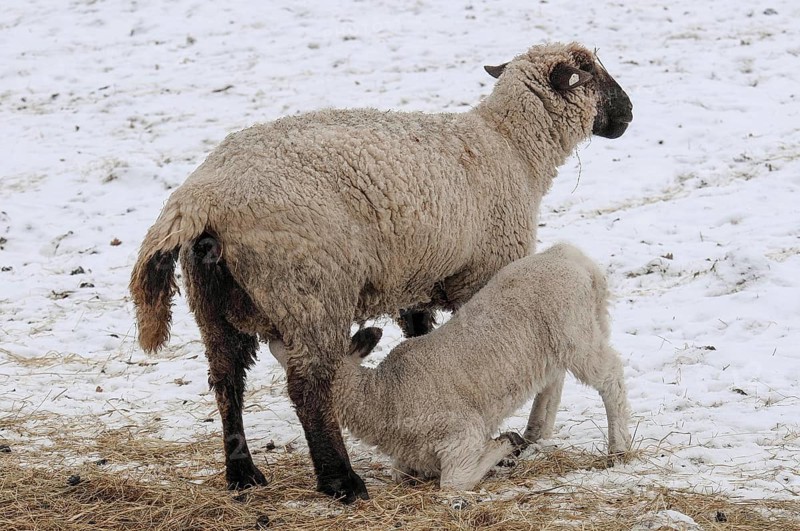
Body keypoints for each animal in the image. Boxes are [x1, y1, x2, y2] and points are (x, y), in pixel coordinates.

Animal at [269, 243, 631, 491]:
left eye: (294, 348)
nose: (273, 338)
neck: (382, 395)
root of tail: (569, 256)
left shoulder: (461, 434)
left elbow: (453, 484)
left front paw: (503, 445)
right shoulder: (409, 457)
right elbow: (400, 475)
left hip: (576, 335)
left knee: (611, 378)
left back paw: (618, 449)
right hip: (565, 338)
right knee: (554, 380)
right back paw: (535, 433)